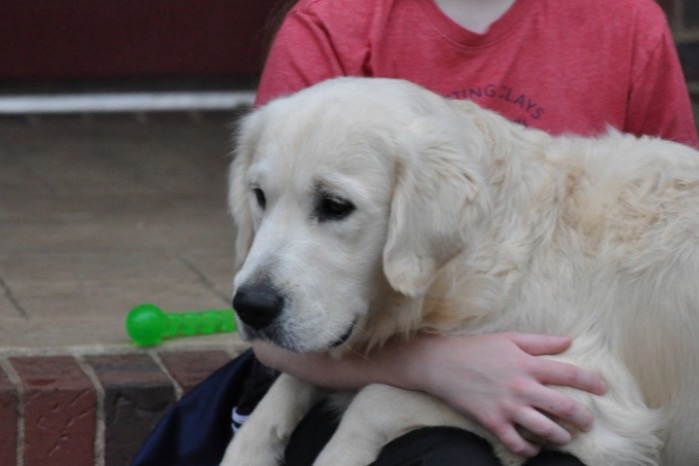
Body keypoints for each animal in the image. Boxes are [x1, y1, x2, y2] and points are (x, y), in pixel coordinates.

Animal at [221, 77, 699, 466]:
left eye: (335, 205)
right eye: (260, 196)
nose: (251, 307)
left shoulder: (589, 404)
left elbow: (374, 398)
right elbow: (288, 383)